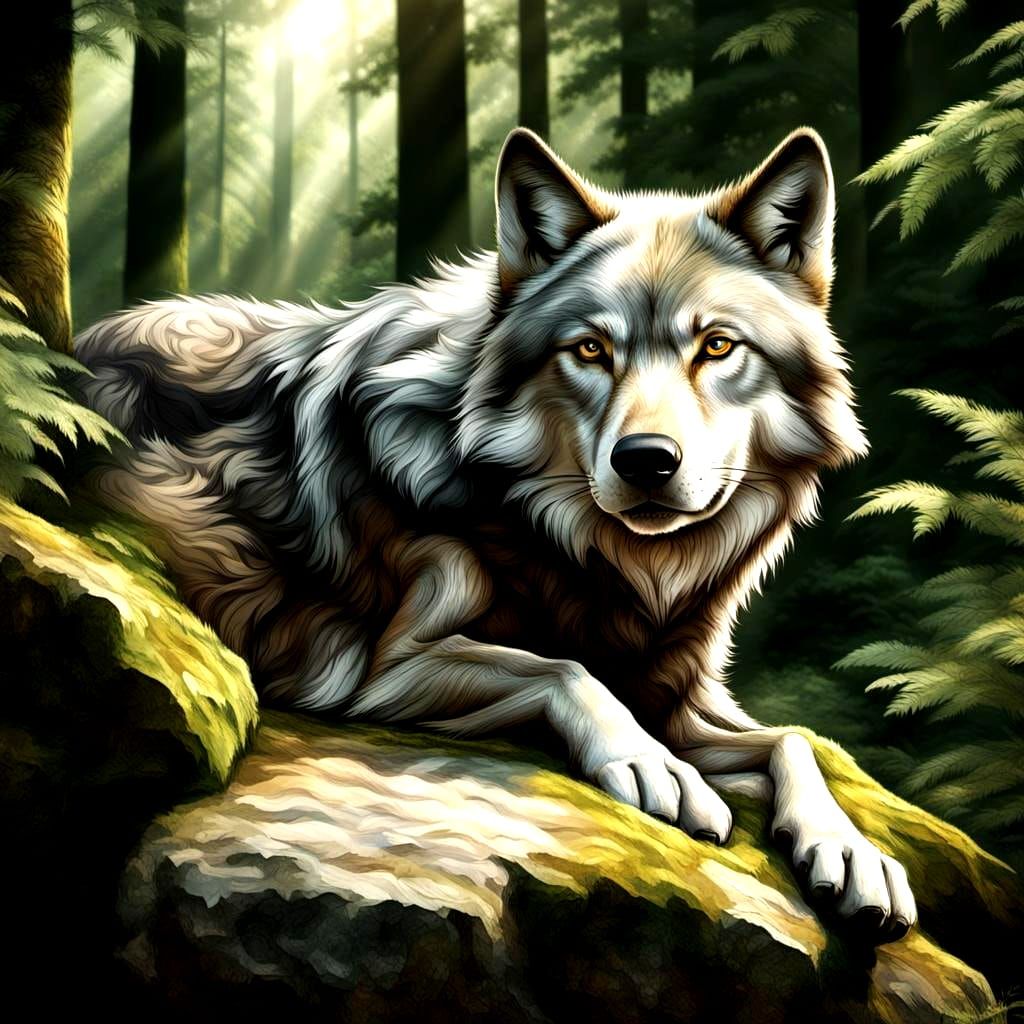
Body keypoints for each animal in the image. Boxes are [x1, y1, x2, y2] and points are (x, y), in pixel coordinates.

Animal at [77, 127, 915, 940]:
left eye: (716, 346)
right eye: (590, 349)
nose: (645, 460)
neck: (605, 562)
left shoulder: (680, 698)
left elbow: (799, 740)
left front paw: (850, 851)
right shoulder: (387, 671)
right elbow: (567, 671)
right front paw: (659, 771)